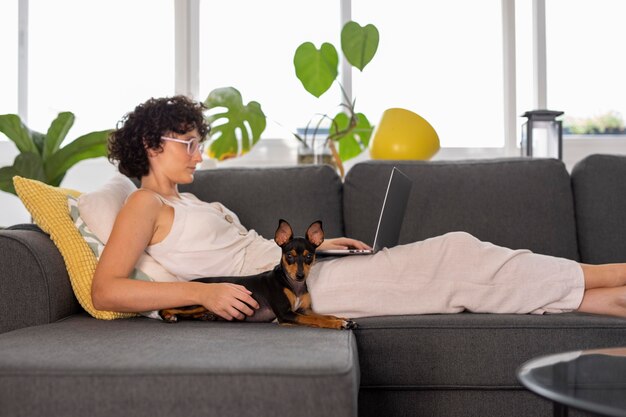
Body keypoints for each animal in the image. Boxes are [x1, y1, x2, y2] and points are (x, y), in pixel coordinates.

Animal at [157, 219, 356, 330]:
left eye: (309, 257)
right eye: (289, 256)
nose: (300, 276)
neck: (292, 285)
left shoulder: (304, 309)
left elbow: (324, 315)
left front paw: (343, 319)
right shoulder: (287, 314)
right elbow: (316, 320)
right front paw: (338, 324)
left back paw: (208, 316)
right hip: (195, 303)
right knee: (165, 309)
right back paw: (170, 317)